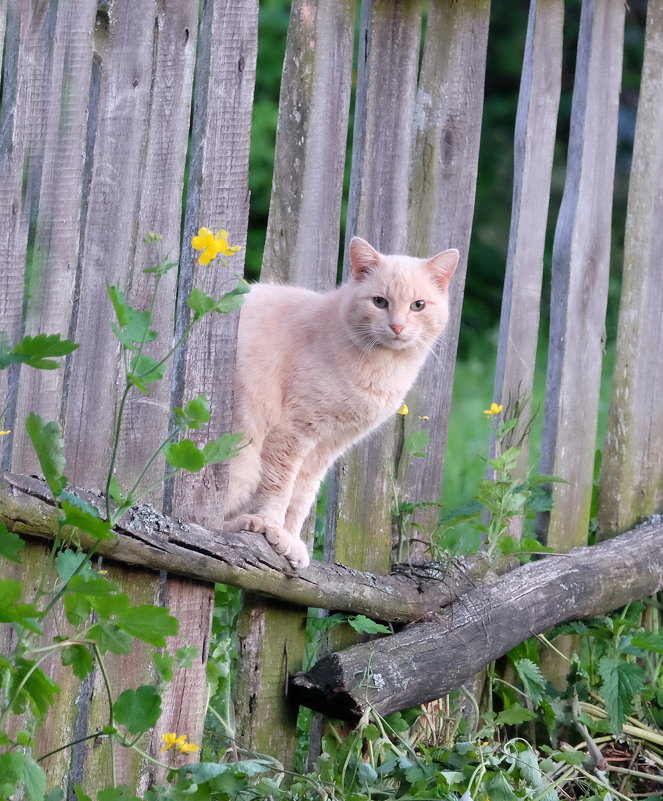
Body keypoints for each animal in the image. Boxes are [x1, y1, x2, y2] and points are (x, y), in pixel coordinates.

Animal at [222, 238, 456, 568]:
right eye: (380, 302)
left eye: (418, 305)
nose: (397, 327)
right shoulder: (291, 434)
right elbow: (278, 490)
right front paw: (272, 529)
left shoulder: (323, 450)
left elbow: (300, 499)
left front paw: (291, 540)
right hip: (243, 460)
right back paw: (248, 523)